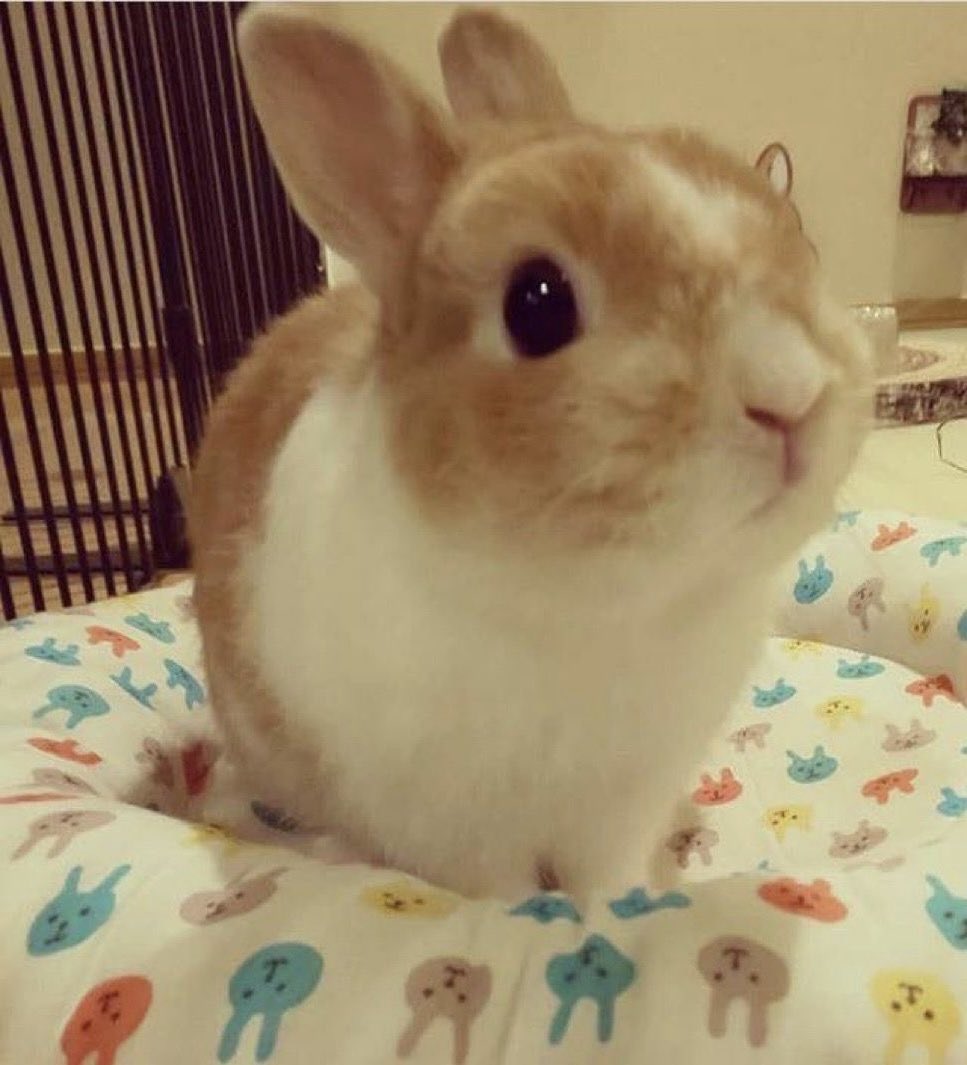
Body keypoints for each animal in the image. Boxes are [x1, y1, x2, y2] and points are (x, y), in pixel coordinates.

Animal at [191, 6, 871, 901]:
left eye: (800, 240)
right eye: (536, 305)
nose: (791, 391)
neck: (595, 607)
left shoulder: (623, 803)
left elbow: (603, 877)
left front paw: (621, 906)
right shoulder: (450, 822)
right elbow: (498, 894)